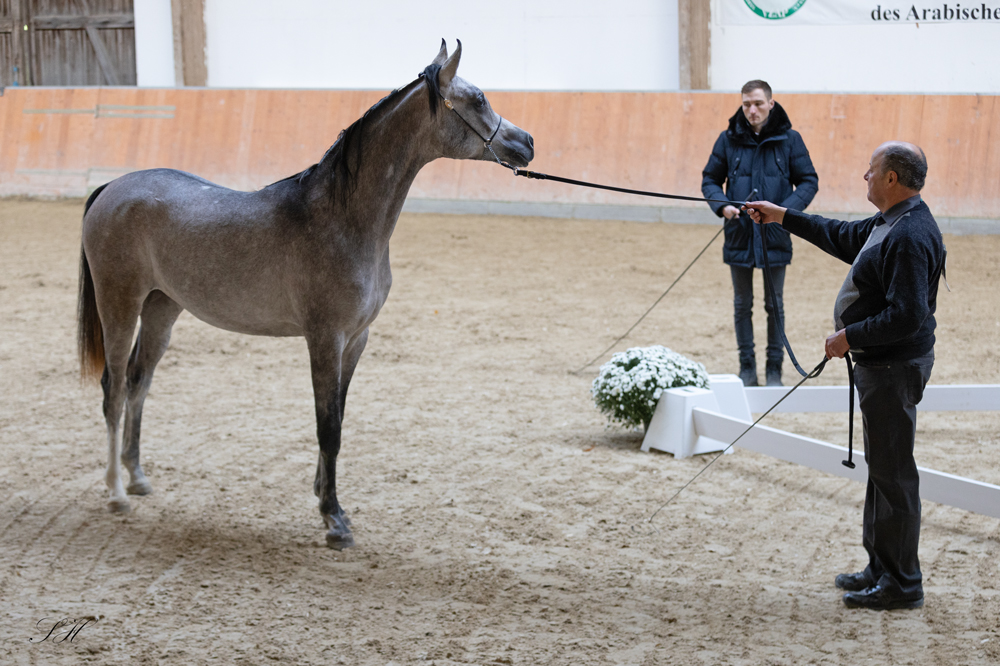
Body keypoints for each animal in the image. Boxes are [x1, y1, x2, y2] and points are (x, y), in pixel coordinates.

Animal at [76, 40, 534, 549]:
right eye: (477, 99)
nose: (528, 143)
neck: (342, 218)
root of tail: (111, 188)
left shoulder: (355, 340)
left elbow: (338, 419)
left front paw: (324, 498)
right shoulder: (324, 339)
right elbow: (327, 426)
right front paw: (334, 520)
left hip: (162, 309)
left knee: (139, 382)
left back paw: (137, 477)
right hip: (119, 303)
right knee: (114, 388)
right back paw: (116, 493)